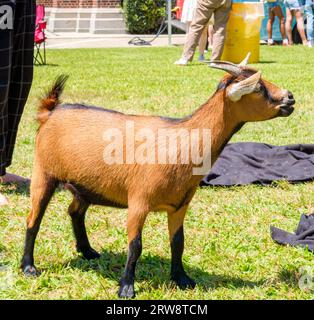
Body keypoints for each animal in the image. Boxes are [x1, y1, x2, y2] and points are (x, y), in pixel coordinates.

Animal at [20, 55, 296, 298]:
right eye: (258, 87)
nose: (290, 97)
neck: (182, 141)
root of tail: (50, 112)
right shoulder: (138, 202)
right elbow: (135, 246)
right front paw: (126, 288)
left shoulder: (180, 205)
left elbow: (178, 242)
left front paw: (182, 279)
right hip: (43, 173)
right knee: (34, 219)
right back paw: (29, 267)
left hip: (84, 186)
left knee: (75, 211)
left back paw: (87, 251)